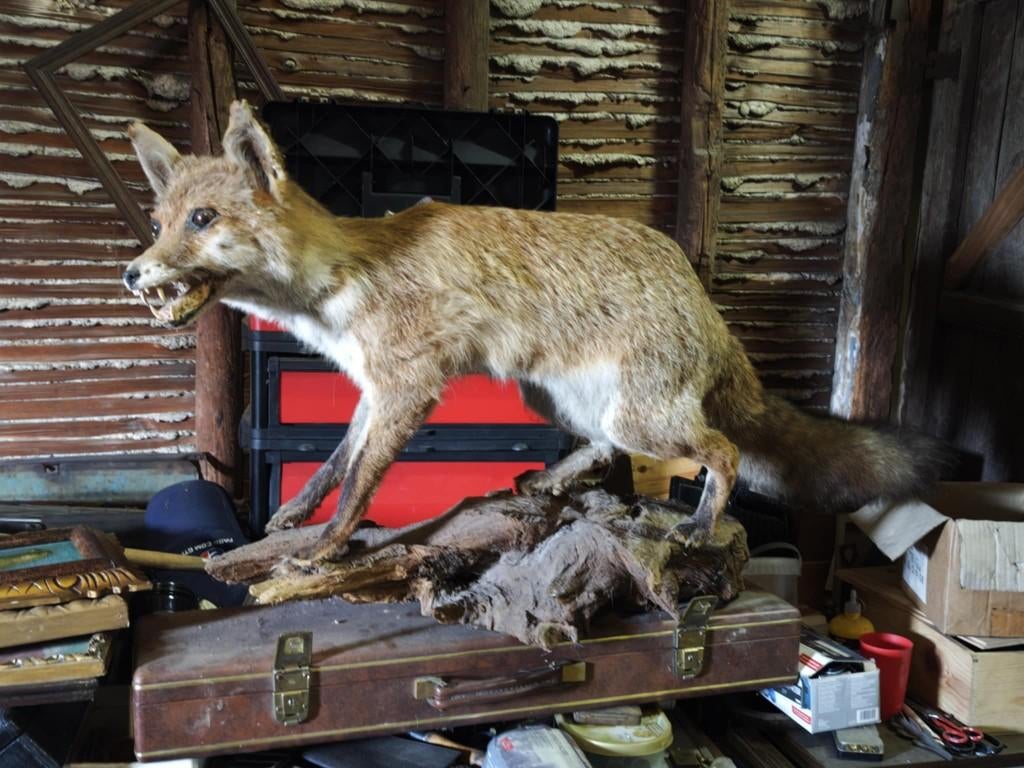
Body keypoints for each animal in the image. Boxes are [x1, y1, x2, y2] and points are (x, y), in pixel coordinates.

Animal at [123, 100, 945, 564]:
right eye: (160, 222)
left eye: (203, 220)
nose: (133, 273)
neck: (346, 275)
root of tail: (700, 296)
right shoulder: (374, 388)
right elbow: (332, 462)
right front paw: (293, 516)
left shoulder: (409, 388)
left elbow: (359, 484)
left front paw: (324, 550)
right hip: (555, 399)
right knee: (602, 450)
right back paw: (548, 482)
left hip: (645, 417)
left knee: (722, 450)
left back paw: (700, 523)